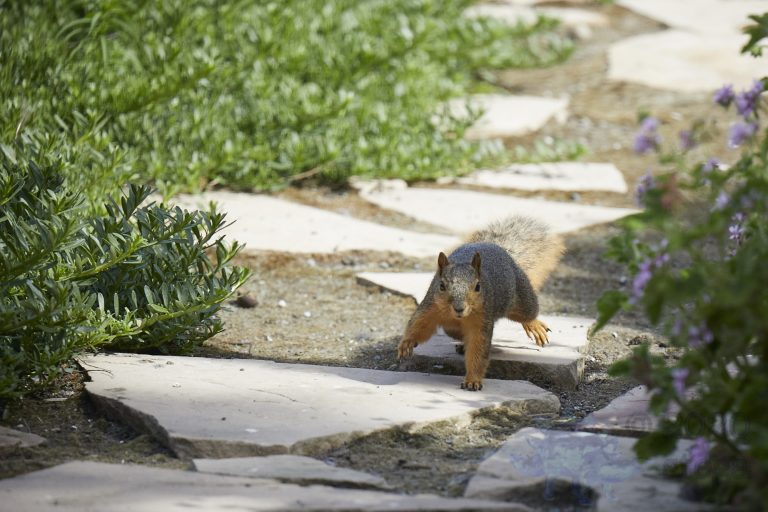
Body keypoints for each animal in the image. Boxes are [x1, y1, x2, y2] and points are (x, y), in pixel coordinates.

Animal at [396, 215, 564, 391]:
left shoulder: (482, 321)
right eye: (441, 285)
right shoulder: (430, 307)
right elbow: (418, 325)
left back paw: (534, 325)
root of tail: (499, 248)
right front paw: (406, 343)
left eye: (478, 286)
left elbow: (478, 350)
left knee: (528, 313)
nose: (459, 308)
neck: (457, 318)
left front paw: (472, 381)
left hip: (522, 298)